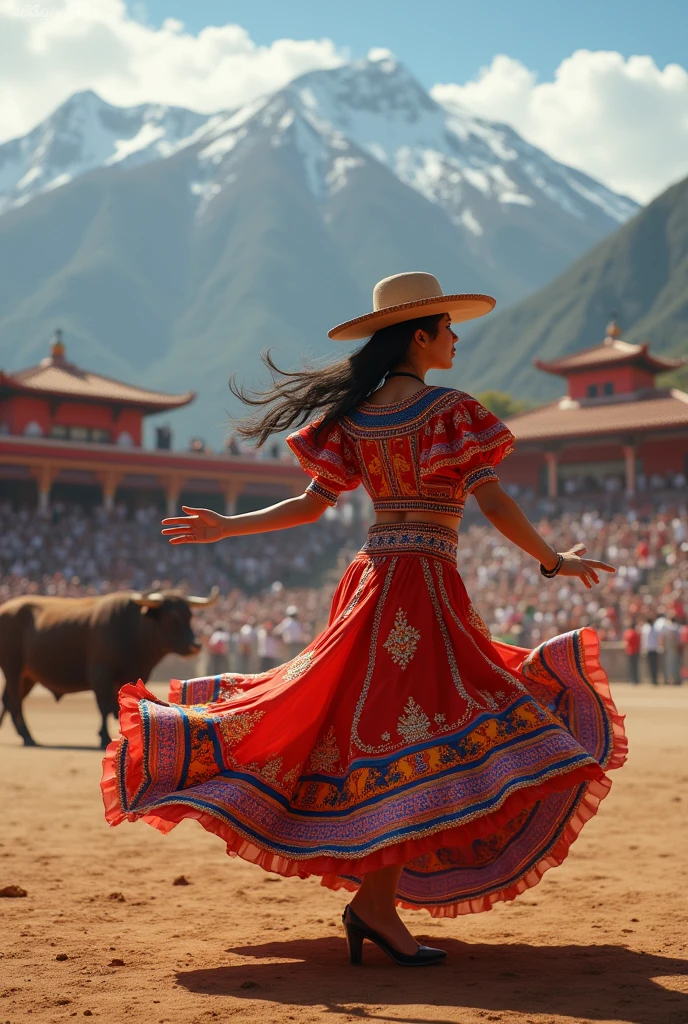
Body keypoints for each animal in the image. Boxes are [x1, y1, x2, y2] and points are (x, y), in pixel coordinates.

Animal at [0, 589, 218, 749]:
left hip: (27, 676)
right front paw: (104, 737)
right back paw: (28, 737)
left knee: (10, 700)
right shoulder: (100, 675)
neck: (131, 629)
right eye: (172, 618)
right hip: (13, 669)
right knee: (14, 701)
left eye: (190, 615)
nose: (195, 645)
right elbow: (104, 707)